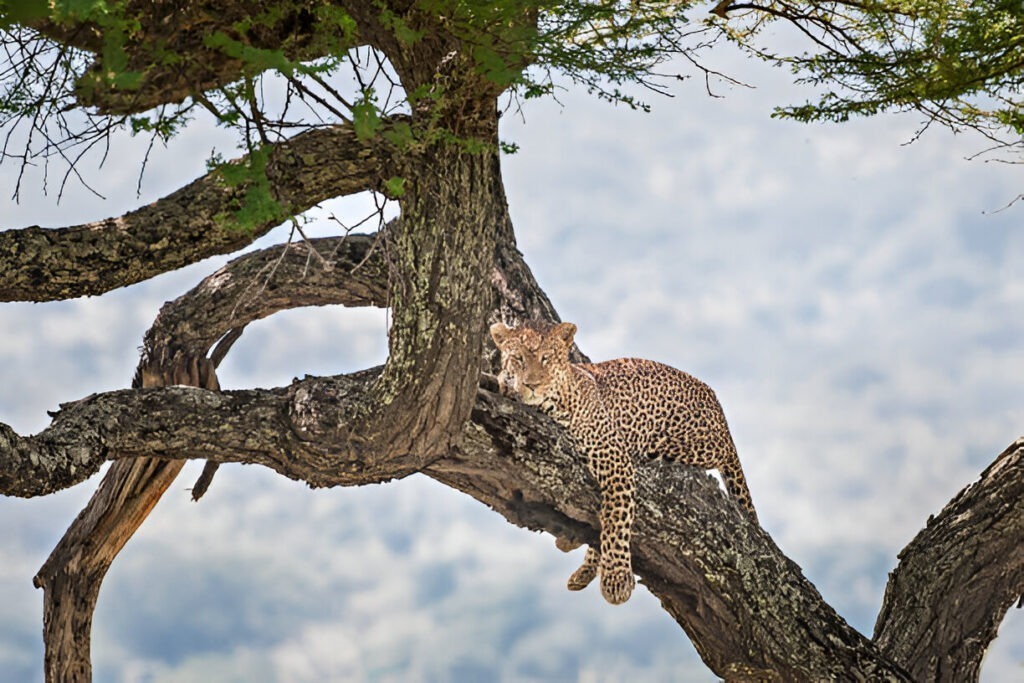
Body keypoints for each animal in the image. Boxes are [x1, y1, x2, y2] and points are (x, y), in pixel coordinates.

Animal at [490, 320, 757, 605]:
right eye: (518, 358)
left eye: (546, 358)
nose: (532, 384)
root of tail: (717, 404)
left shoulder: (613, 455)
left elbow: (616, 516)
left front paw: (615, 581)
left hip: (690, 443)